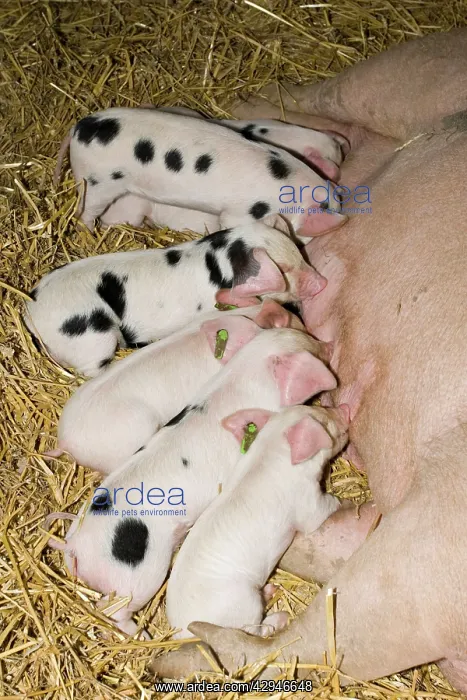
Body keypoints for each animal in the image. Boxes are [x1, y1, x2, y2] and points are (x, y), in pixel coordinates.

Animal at [24, 220, 325, 376]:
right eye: (283, 269)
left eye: (299, 251)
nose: (322, 282)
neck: (218, 264)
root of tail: (30, 314)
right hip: (93, 340)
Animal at [166, 404, 349, 639]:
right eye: (323, 421)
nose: (344, 408)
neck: (272, 449)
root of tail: (181, 632)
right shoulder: (307, 501)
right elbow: (320, 512)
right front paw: (343, 502)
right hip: (244, 603)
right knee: (252, 630)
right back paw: (279, 619)